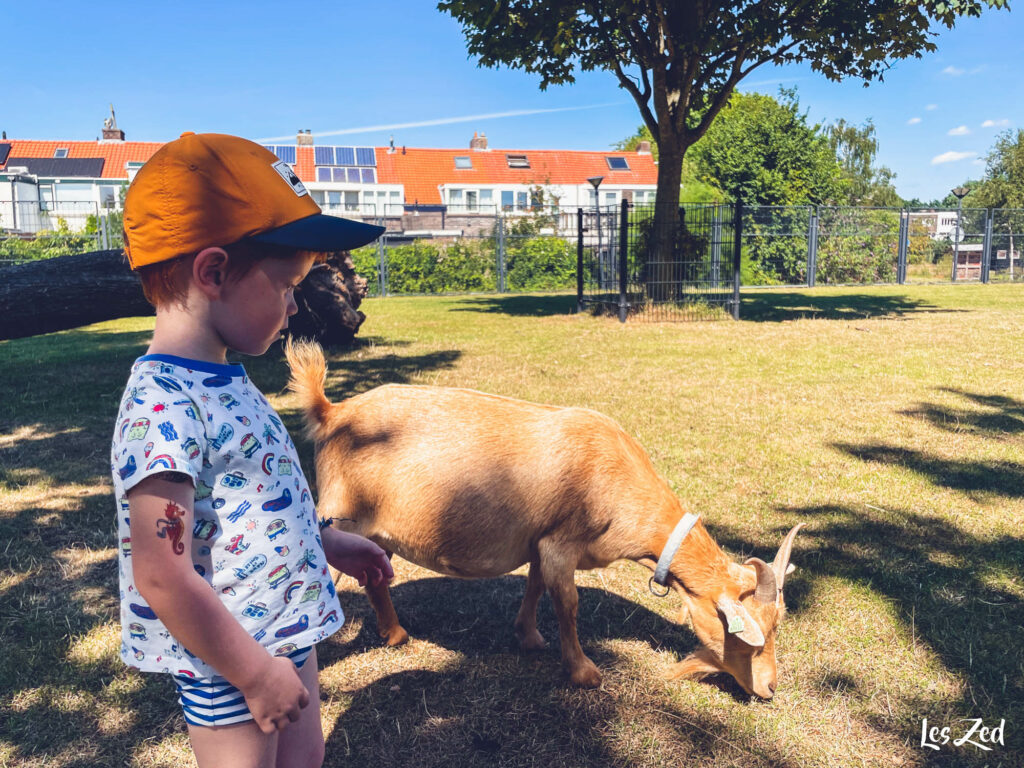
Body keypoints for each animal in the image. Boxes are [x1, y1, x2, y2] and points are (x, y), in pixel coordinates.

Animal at [284, 342, 802, 696]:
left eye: (778, 625)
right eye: (749, 637)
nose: (770, 688)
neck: (614, 476)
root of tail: (332, 411)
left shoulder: (541, 539)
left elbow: (534, 586)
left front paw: (528, 638)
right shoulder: (561, 543)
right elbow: (568, 604)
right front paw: (584, 672)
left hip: (376, 531)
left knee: (374, 576)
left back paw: (395, 635)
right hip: (338, 518)